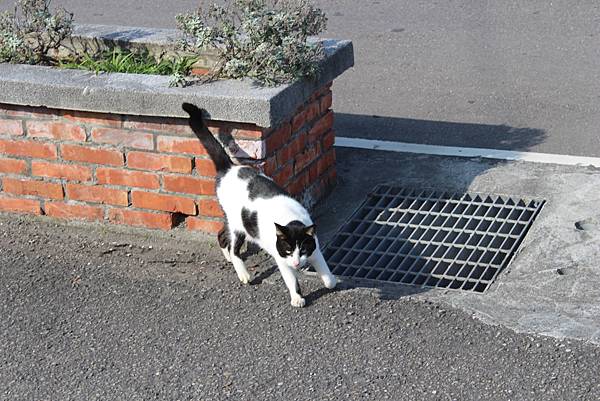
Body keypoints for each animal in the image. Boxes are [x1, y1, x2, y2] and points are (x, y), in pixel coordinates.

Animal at [182, 103, 338, 306]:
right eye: (288, 250)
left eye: (303, 249)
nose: (297, 263)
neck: (291, 219)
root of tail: (229, 168)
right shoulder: (281, 259)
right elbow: (291, 279)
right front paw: (297, 297)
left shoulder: (315, 247)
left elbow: (325, 271)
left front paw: (330, 280)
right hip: (239, 226)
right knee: (234, 248)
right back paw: (243, 273)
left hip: (234, 219)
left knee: (222, 235)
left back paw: (228, 257)